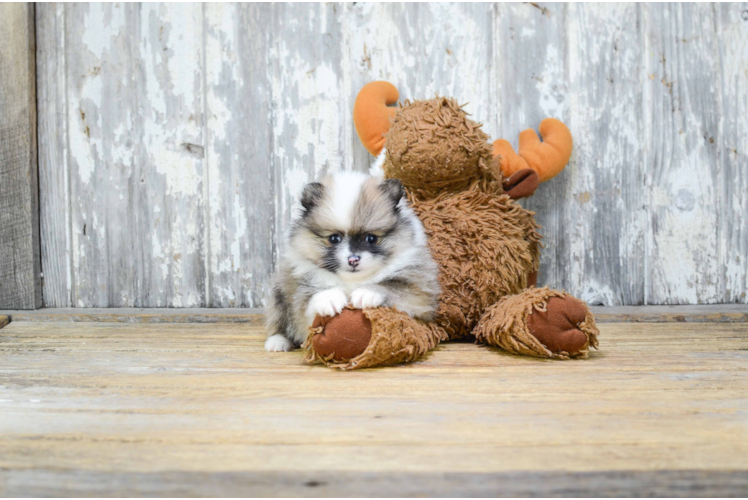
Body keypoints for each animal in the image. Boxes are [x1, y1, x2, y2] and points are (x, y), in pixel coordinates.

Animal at [264, 172, 438, 352]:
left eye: (371, 238)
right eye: (334, 239)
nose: (353, 259)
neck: (353, 281)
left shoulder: (420, 293)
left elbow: (392, 287)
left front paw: (367, 293)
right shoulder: (301, 292)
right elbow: (308, 303)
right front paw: (329, 298)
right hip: (278, 295)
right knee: (279, 322)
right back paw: (277, 342)